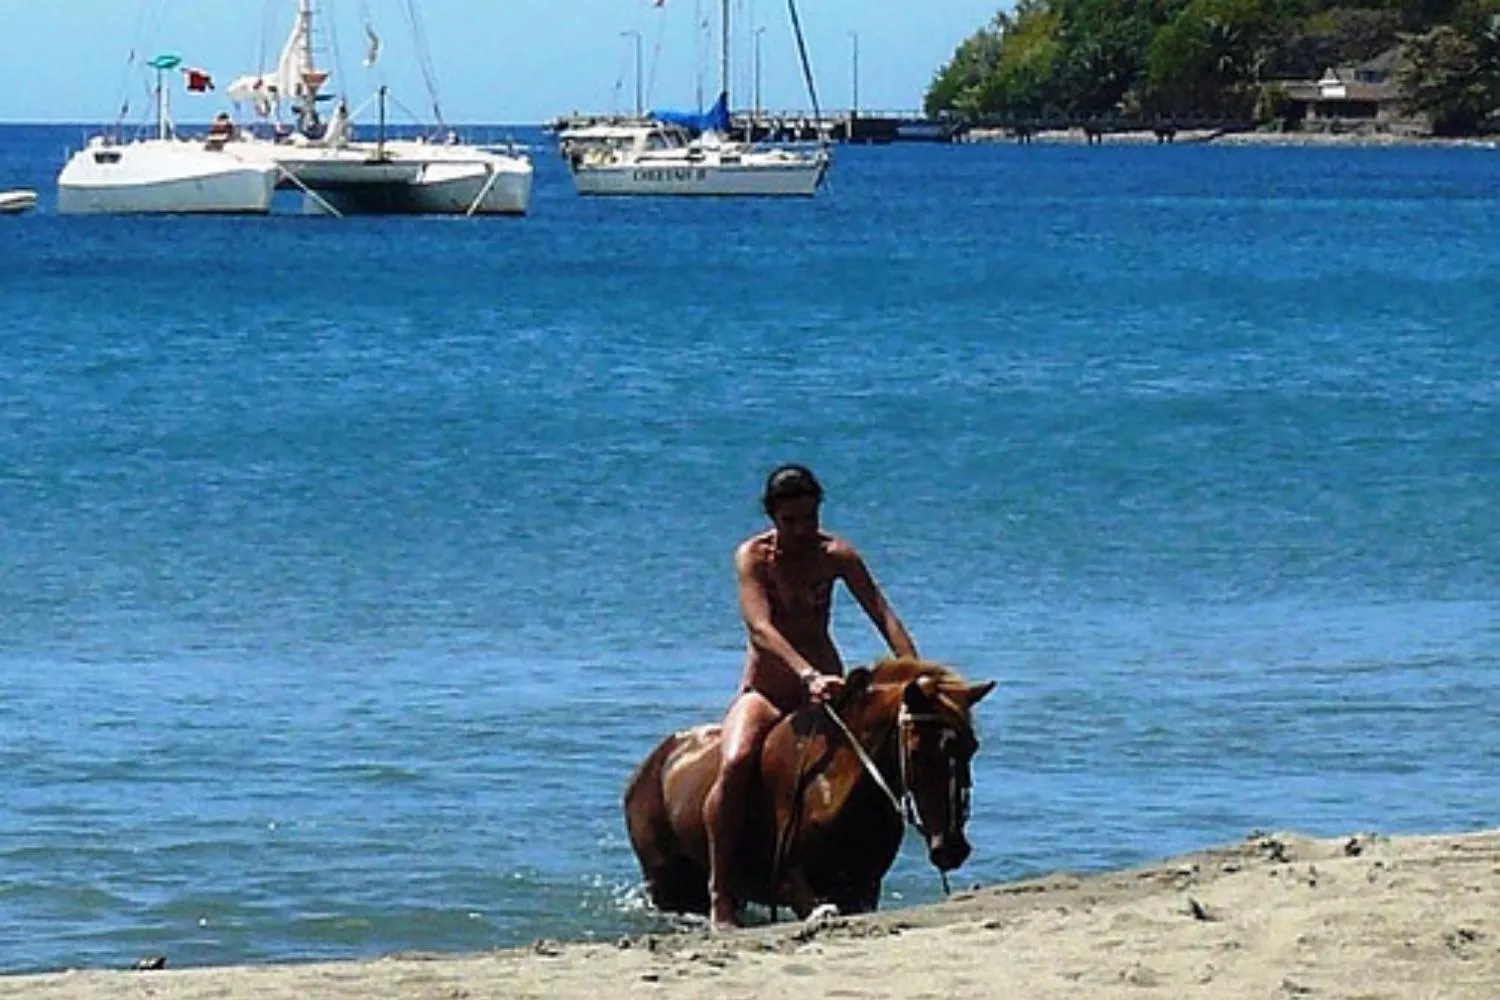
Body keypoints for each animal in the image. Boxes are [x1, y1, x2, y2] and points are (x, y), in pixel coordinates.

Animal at [622, 657, 996, 922]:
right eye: (918, 751)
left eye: (972, 747)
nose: (953, 848)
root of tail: (650, 766)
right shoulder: (793, 882)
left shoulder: (863, 888)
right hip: (667, 884)